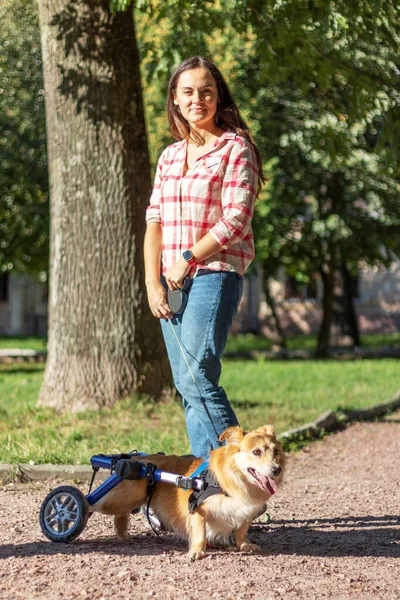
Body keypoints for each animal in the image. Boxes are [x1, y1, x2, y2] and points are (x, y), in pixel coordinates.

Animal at [90, 424, 284, 560]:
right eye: (256, 452)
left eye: (275, 452)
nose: (277, 470)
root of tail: (135, 459)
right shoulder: (197, 509)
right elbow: (200, 533)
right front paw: (197, 552)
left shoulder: (246, 511)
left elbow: (242, 530)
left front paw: (244, 545)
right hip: (123, 499)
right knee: (95, 503)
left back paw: (122, 533)